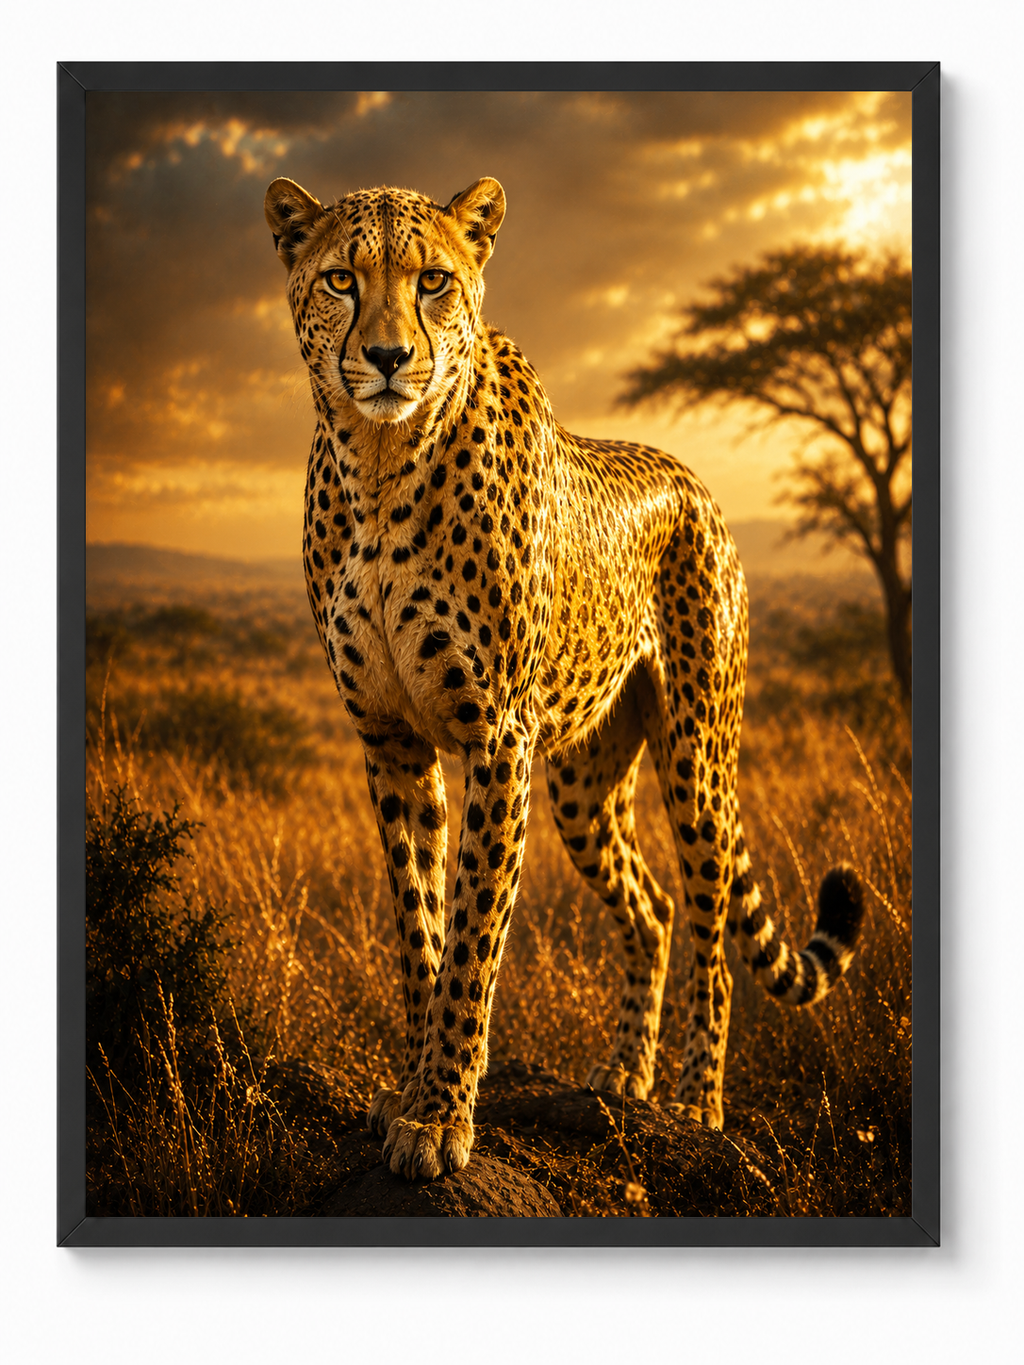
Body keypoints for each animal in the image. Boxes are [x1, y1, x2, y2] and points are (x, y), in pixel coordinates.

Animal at [264, 173, 865, 1181]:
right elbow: (420, 928)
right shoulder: (391, 738)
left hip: (696, 758)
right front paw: (413, 1090)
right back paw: (624, 1078)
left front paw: (440, 1116)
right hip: (585, 782)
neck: (382, 463)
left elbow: (474, 936)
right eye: (342, 278)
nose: (387, 357)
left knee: (708, 928)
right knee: (651, 907)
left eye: (433, 280)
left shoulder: (496, 736)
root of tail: (695, 479)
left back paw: (696, 1106)